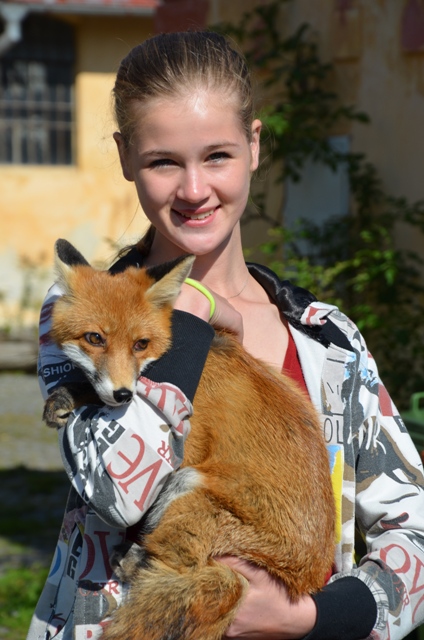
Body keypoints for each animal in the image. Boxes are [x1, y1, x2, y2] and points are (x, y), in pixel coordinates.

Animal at [43, 238, 335, 640]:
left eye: (140, 343)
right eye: (94, 338)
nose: (122, 395)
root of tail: (305, 578)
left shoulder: (186, 445)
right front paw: (68, 395)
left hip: (191, 487)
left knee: (180, 562)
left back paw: (131, 560)